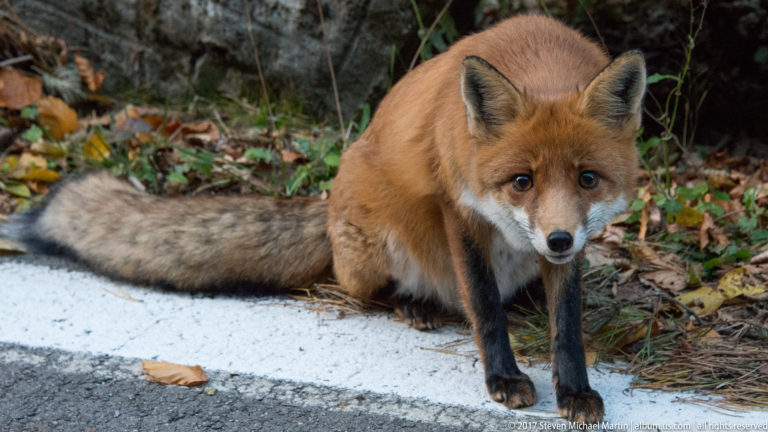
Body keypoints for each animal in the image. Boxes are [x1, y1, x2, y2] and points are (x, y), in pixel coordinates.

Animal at [1, 15, 645, 423]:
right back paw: (415, 304)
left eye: (588, 179)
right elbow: (484, 308)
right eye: (522, 181)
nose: (556, 239)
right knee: (369, 289)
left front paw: (575, 389)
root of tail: (328, 209)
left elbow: (568, 325)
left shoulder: (572, 243)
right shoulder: (458, 207)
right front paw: (502, 380)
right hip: (376, 244)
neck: (538, 55)